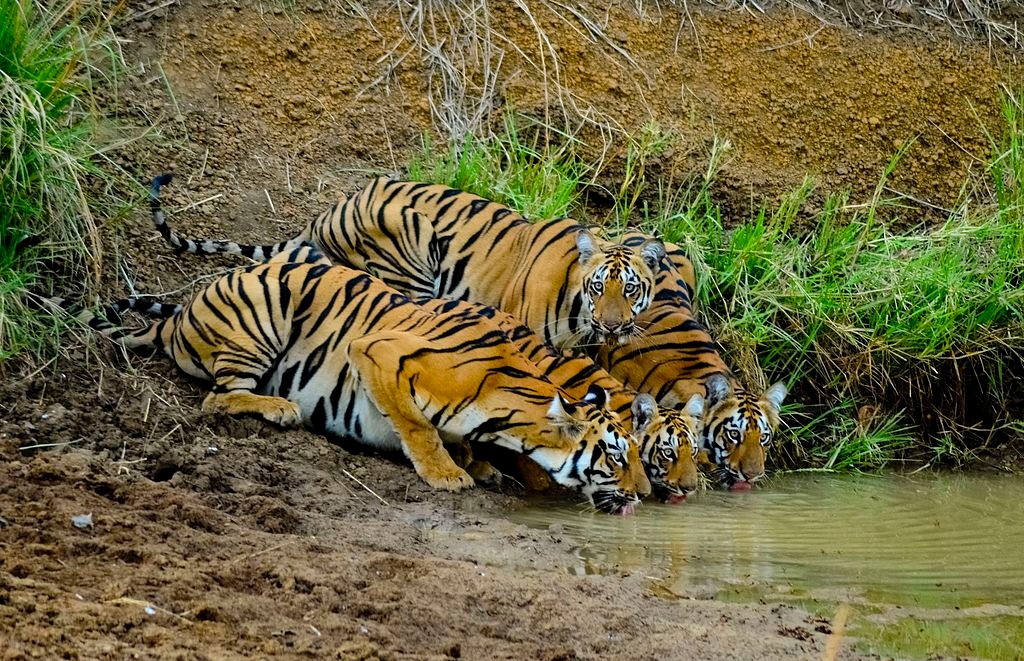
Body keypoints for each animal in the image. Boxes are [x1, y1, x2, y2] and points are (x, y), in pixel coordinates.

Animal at [49, 245, 663, 515]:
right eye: (615, 456)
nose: (645, 493)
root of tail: (177, 313)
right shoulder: (378, 350)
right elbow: (419, 427)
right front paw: (447, 474)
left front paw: (476, 463)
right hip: (266, 310)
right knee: (217, 400)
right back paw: (279, 408)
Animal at [148, 174, 667, 351]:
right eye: (599, 287)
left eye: (631, 289)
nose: (613, 325)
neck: (580, 317)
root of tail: (329, 210)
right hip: (410, 240)